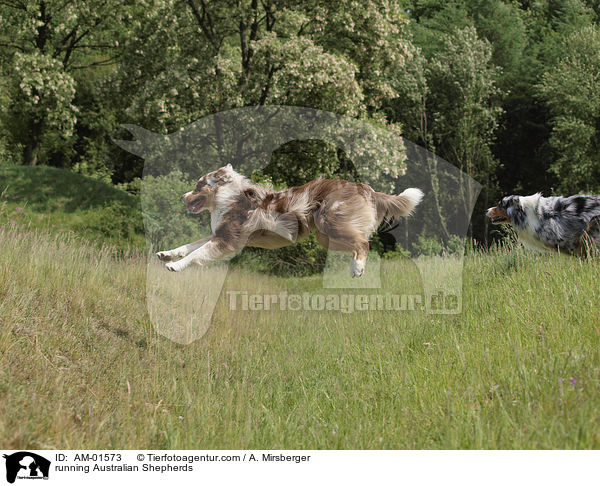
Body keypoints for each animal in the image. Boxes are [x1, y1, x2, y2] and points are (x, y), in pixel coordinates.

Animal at [157, 164, 424, 276]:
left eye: (198, 185)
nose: (182, 196)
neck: (227, 196)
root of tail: (364, 187)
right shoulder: (218, 234)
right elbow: (189, 246)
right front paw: (166, 254)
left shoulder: (228, 240)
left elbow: (196, 253)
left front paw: (175, 266)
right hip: (327, 235)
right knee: (359, 241)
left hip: (331, 223)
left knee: (364, 243)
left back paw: (357, 269)